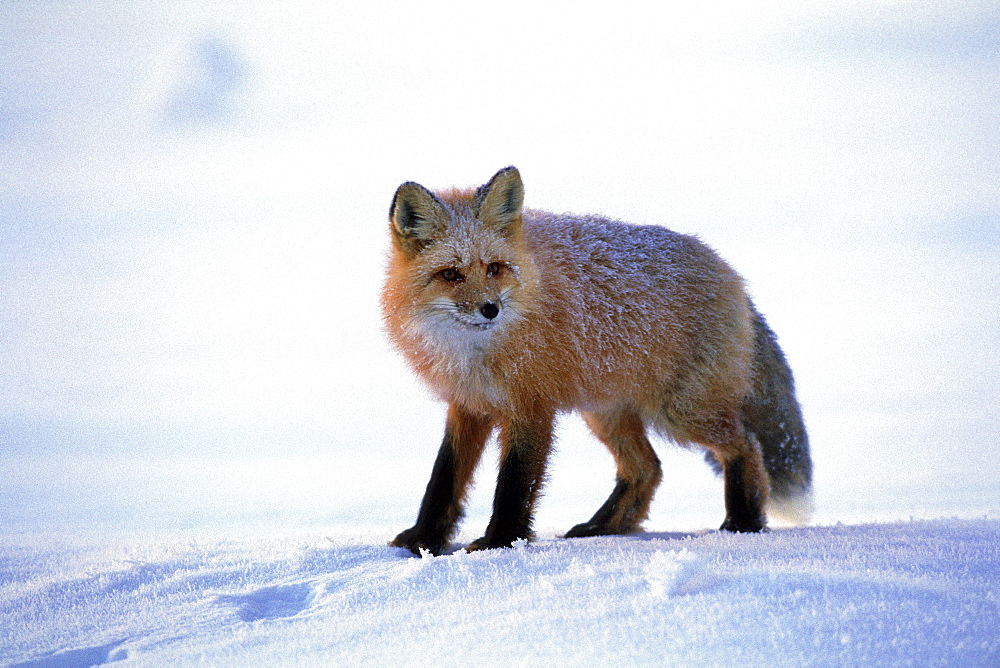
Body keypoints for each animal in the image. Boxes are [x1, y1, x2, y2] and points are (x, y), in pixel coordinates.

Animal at [382, 168, 812, 560]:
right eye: (450, 274)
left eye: (495, 268)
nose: (490, 309)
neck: (475, 353)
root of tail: (730, 272)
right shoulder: (468, 404)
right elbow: (444, 479)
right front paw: (423, 540)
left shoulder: (531, 407)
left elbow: (515, 485)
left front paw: (500, 543)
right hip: (607, 412)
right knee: (647, 468)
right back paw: (604, 526)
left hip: (682, 412)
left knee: (746, 445)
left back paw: (743, 523)